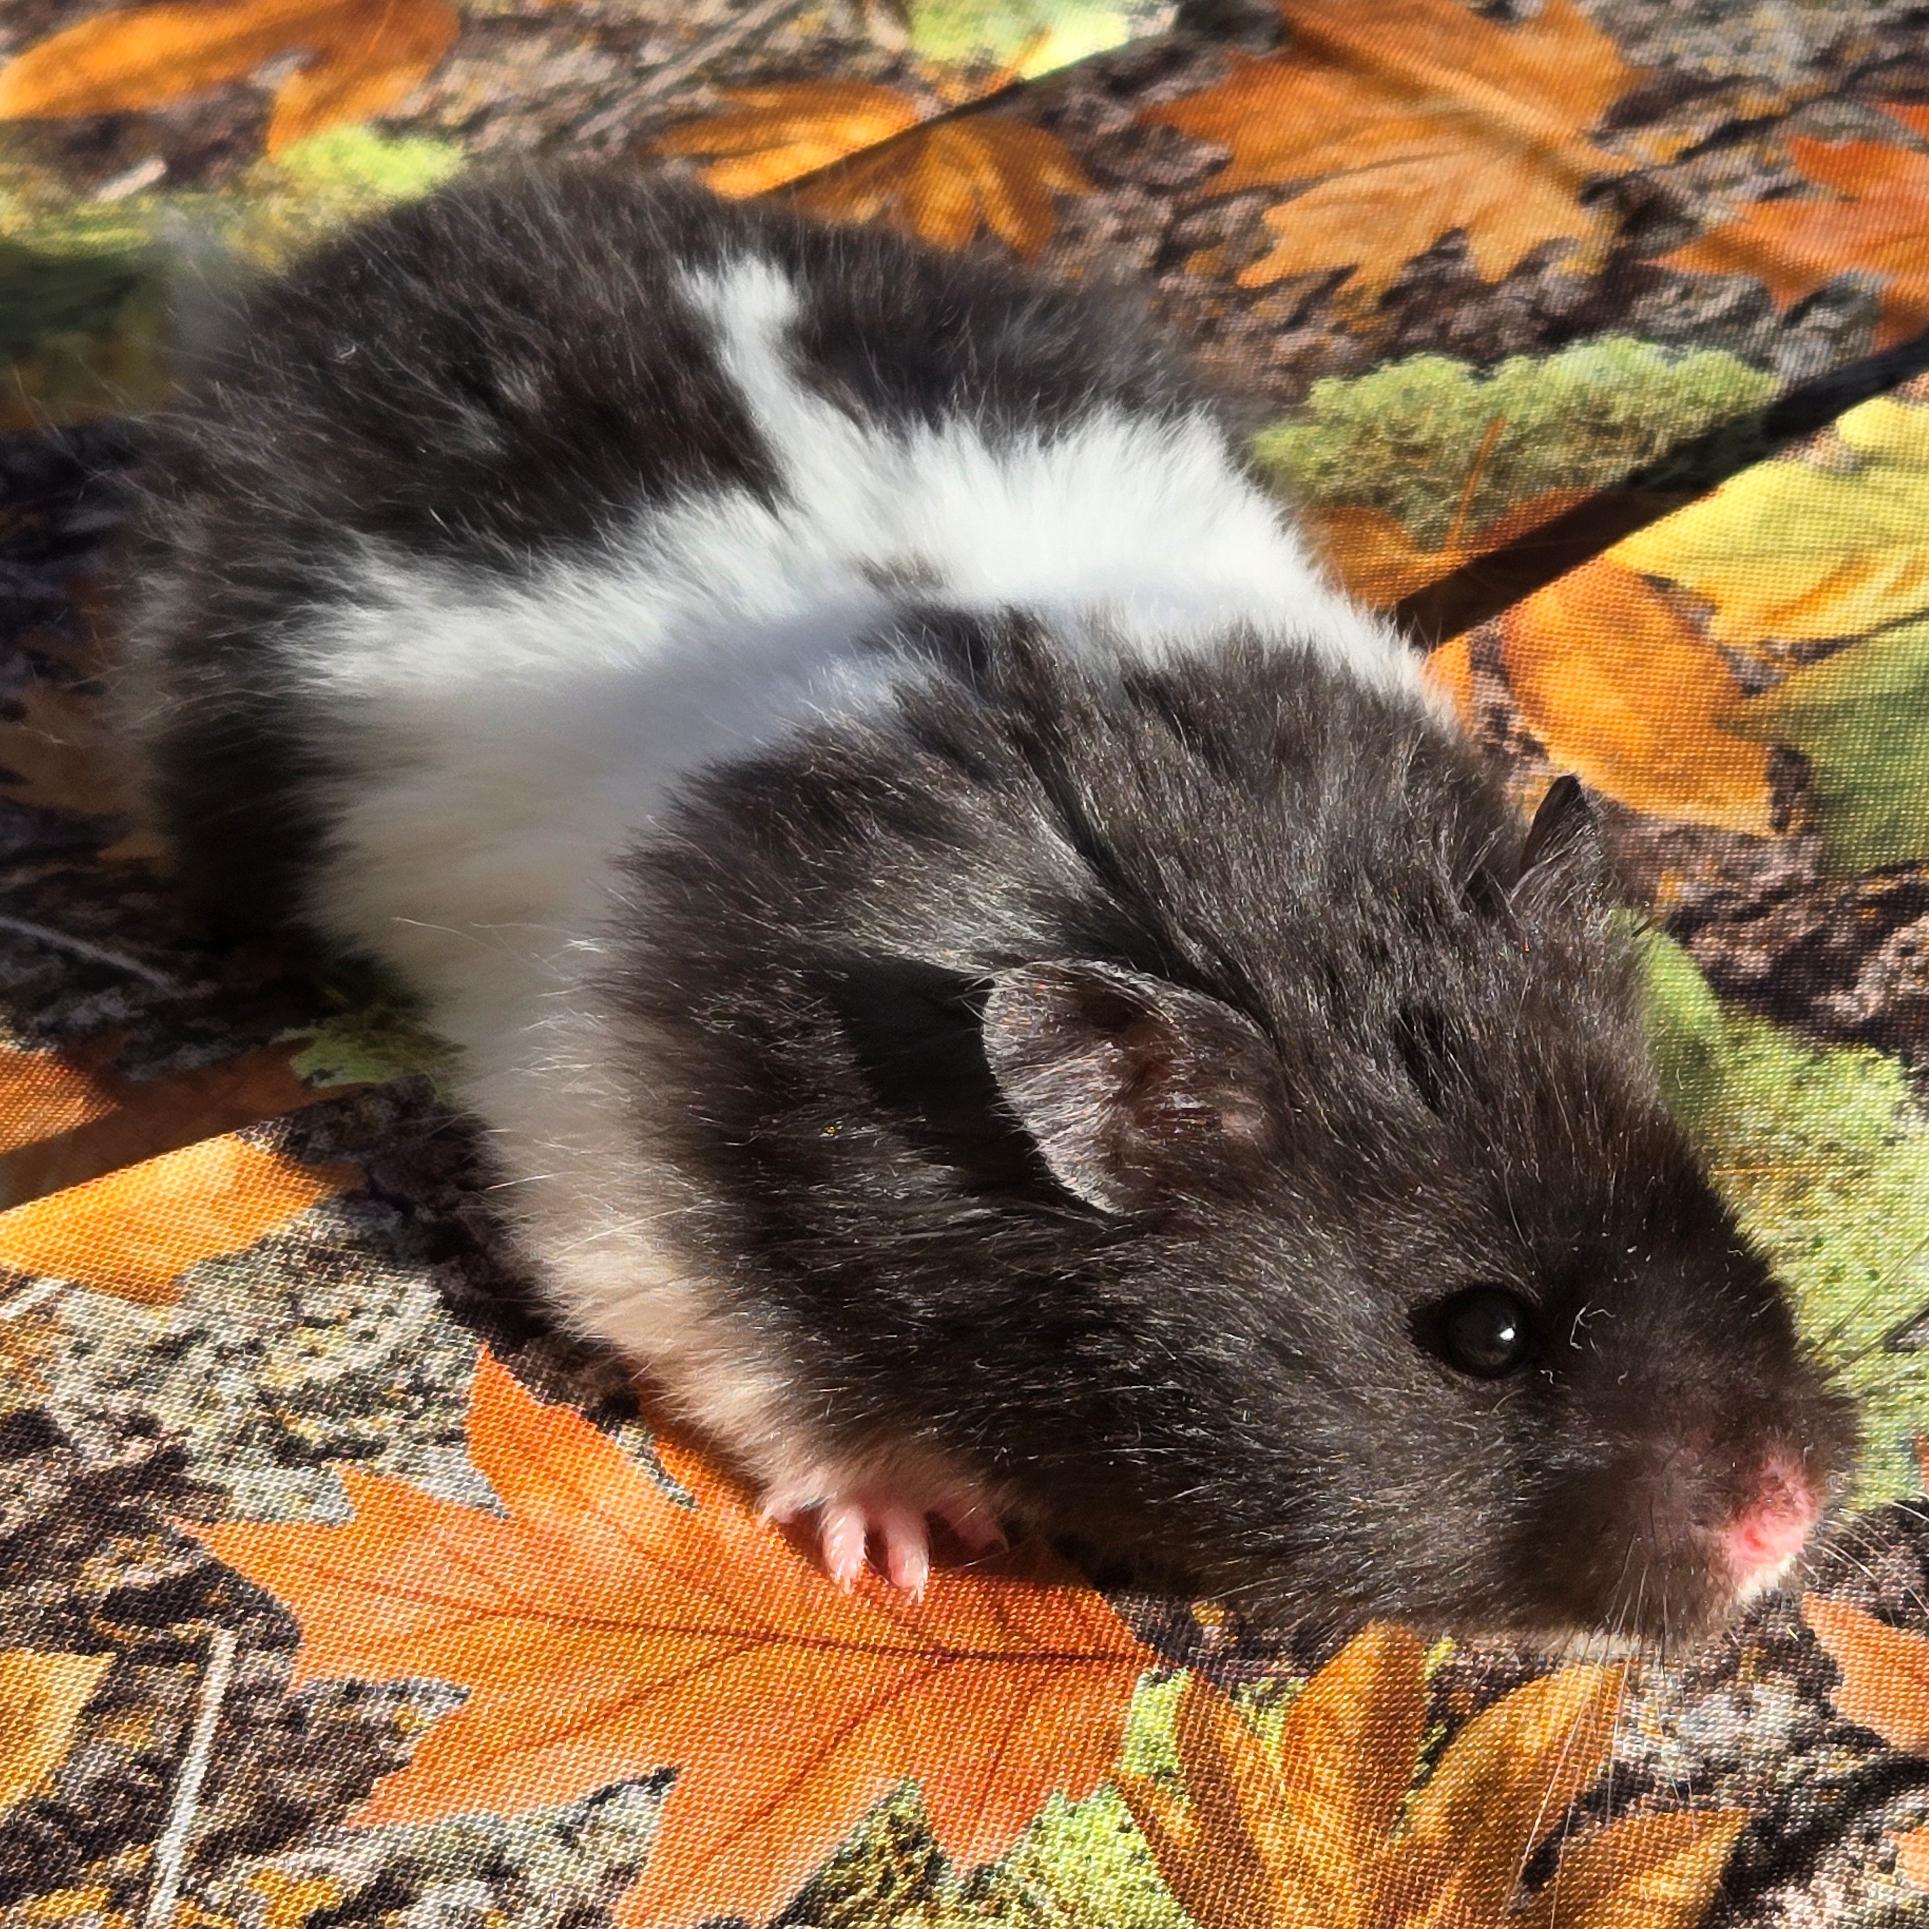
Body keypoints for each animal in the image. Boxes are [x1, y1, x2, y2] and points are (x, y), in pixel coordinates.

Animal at [119, 164, 1854, 1641]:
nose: (1784, 1524)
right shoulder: (624, 1189)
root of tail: (327, 272)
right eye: (1484, 1333)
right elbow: (772, 1388)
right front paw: (906, 1550)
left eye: (1695, 1184)